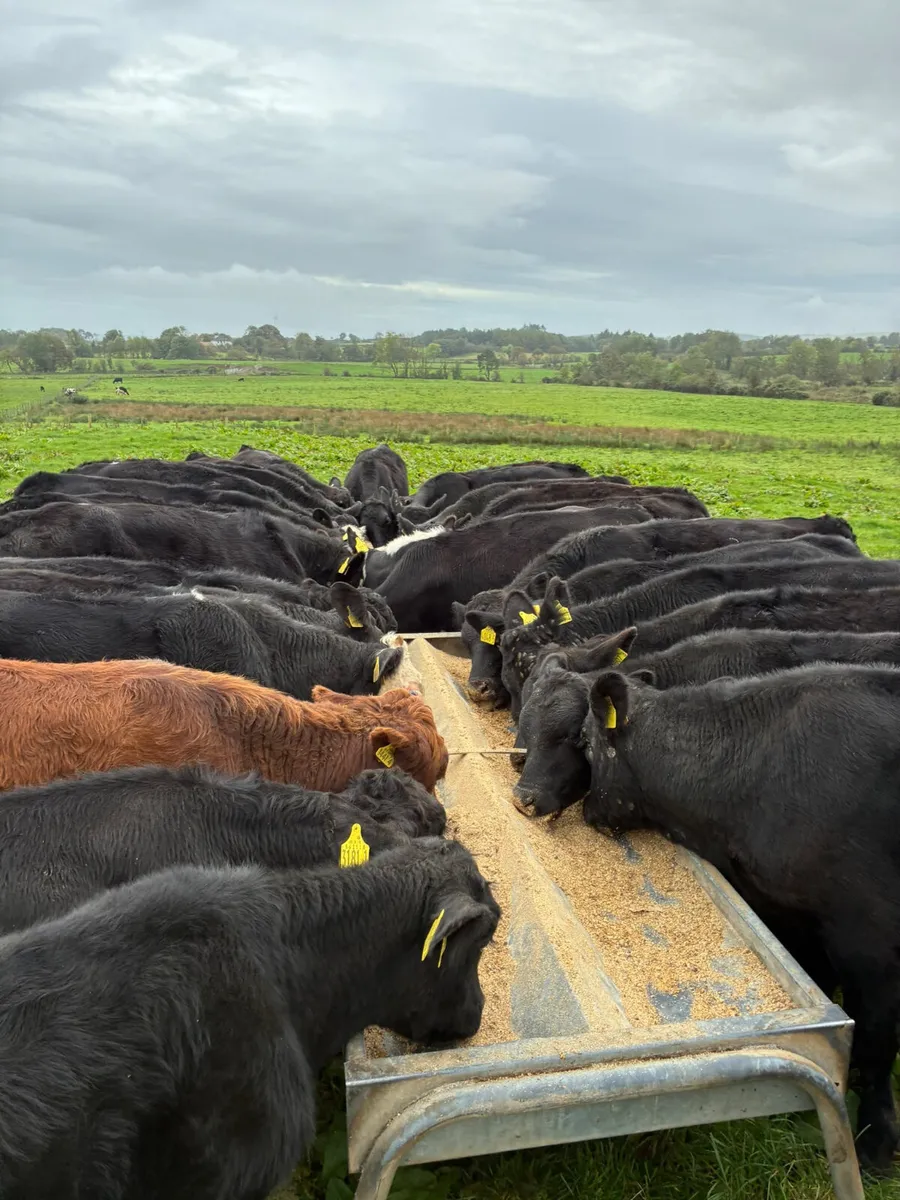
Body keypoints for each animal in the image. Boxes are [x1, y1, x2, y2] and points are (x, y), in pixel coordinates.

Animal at [582, 663, 900, 1170]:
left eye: (587, 745)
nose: (588, 810)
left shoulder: (868, 936)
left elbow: (875, 1038)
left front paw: (876, 1143)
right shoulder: (796, 915)